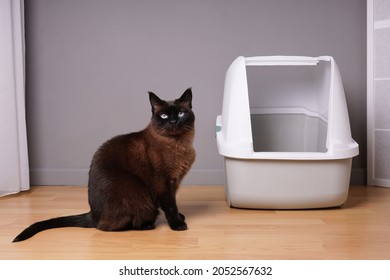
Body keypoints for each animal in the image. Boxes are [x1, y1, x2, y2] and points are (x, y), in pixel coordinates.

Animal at [12, 88, 195, 243]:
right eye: (164, 116)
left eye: (180, 113)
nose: (173, 121)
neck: (180, 144)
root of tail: (93, 214)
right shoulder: (163, 182)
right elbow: (170, 205)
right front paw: (178, 225)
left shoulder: (174, 182)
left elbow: (173, 202)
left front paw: (180, 217)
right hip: (137, 194)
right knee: (107, 227)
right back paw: (147, 225)